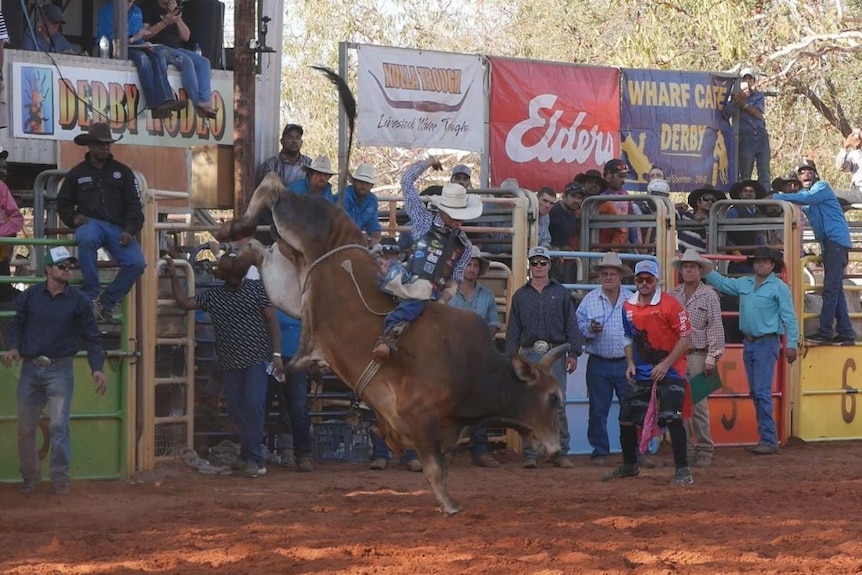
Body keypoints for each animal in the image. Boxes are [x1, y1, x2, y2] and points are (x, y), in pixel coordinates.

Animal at [216, 173, 568, 516]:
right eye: (553, 397)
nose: (554, 449)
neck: (472, 367)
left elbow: (442, 463)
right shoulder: (419, 417)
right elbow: (435, 467)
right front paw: (450, 505)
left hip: (290, 286)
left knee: (260, 251)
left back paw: (233, 257)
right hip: (297, 222)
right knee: (273, 185)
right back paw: (232, 228)